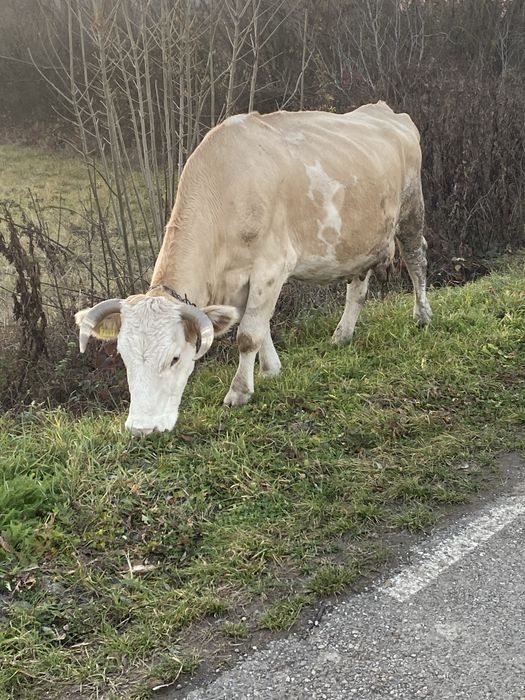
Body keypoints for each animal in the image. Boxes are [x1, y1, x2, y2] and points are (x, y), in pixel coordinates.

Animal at [76, 101, 432, 436]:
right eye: (124, 357)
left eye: (175, 357)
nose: (142, 428)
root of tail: (386, 111)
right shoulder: (241, 281)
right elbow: (261, 326)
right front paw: (270, 369)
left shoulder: (271, 266)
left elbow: (248, 334)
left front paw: (239, 392)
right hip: (361, 239)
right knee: (358, 287)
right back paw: (342, 335)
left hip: (412, 210)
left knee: (417, 260)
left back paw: (422, 316)